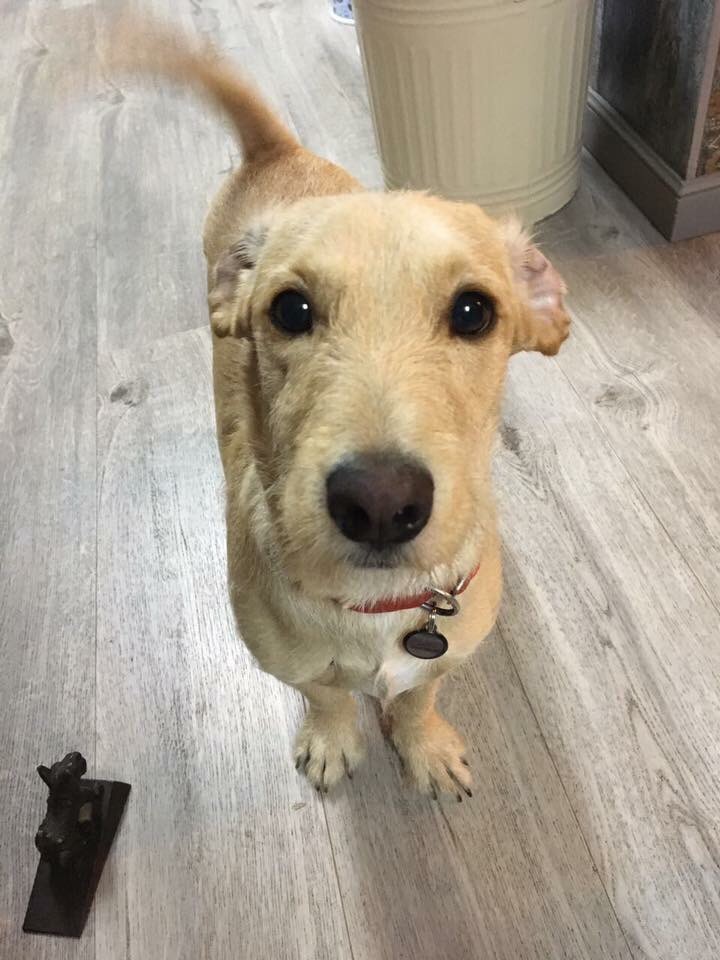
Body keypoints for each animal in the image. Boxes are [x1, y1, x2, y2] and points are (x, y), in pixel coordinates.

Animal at [112, 20, 570, 798]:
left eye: (474, 311)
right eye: (290, 309)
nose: (381, 504)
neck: (380, 607)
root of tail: (277, 151)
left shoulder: (443, 656)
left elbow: (418, 695)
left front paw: (423, 744)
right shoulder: (290, 663)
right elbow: (325, 695)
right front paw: (332, 740)